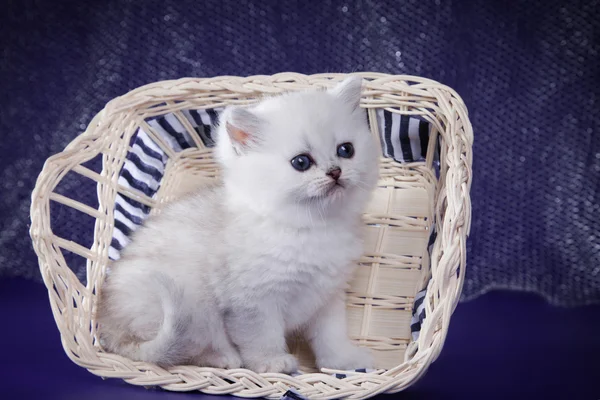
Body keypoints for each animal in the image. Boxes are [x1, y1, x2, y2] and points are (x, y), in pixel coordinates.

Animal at [98, 76, 380, 374]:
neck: (312, 228)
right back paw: (223, 358)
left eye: (346, 150)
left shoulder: (328, 297)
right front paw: (272, 363)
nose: (335, 172)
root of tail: (107, 325)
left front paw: (344, 362)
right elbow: (260, 337)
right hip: (189, 308)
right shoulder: (252, 301)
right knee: (184, 350)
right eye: (301, 162)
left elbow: (331, 335)